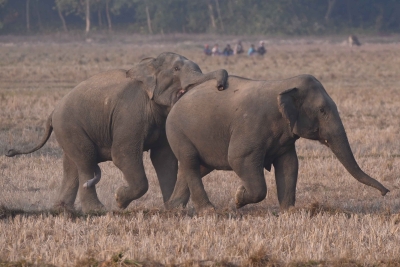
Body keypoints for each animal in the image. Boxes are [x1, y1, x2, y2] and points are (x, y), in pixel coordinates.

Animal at [7, 52, 228, 215]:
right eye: (176, 69)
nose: (220, 86)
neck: (147, 65)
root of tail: (52, 113)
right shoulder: (130, 113)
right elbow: (122, 155)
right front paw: (119, 199)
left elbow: (164, 158)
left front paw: (171, 209)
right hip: (70, 127)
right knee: (85, 160)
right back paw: (96, 209)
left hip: (68, 131)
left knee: (71, 165)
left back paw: (63, 209)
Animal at [164, 73, 390, 214]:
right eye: (322, 110)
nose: (385, 192)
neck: (285, 83)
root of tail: (177, 100)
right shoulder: (251, 125)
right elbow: (238, 158)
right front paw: (238, 197)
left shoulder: (285, 138)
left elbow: (289, 165)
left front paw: (289, 212)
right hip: (178, 132)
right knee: (191, 163)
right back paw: (207, 211)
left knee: (196, 168)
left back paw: (173, 208)